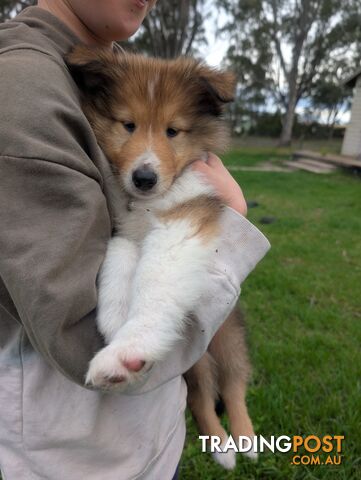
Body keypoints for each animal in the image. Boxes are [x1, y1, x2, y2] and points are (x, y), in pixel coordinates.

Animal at [66, 46, 255, 468]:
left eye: (173, 130)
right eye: (128, 124)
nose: (144, 178)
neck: (148, 204)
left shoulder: (181, 225)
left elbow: (153, 283)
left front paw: (127, 351)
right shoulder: (125, 232)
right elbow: (119, 263)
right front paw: (116, 321)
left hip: (228, 334)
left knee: (234, 384)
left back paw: (244, 440)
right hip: (197, 362)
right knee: (202, 395)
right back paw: (221, 446)